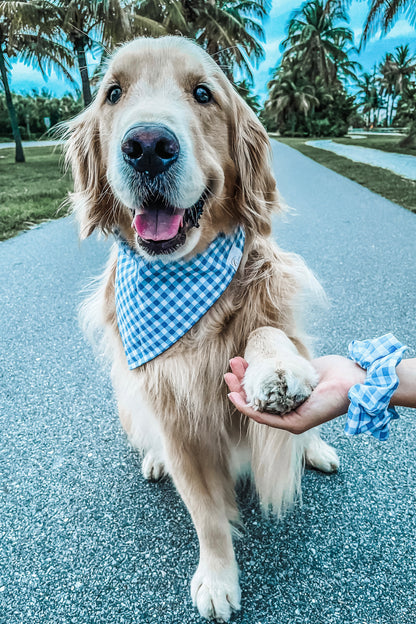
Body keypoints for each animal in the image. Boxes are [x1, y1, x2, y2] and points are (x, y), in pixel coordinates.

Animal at [64, 37, 338, 624]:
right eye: (113, 93)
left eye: (203, 93)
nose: (147, 146)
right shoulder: (175, 420)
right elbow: (207, 515)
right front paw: (217, 578)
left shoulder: (275, 311)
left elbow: (266, 332)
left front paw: (273, 371)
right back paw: (152, 461)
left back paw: (316, 447)